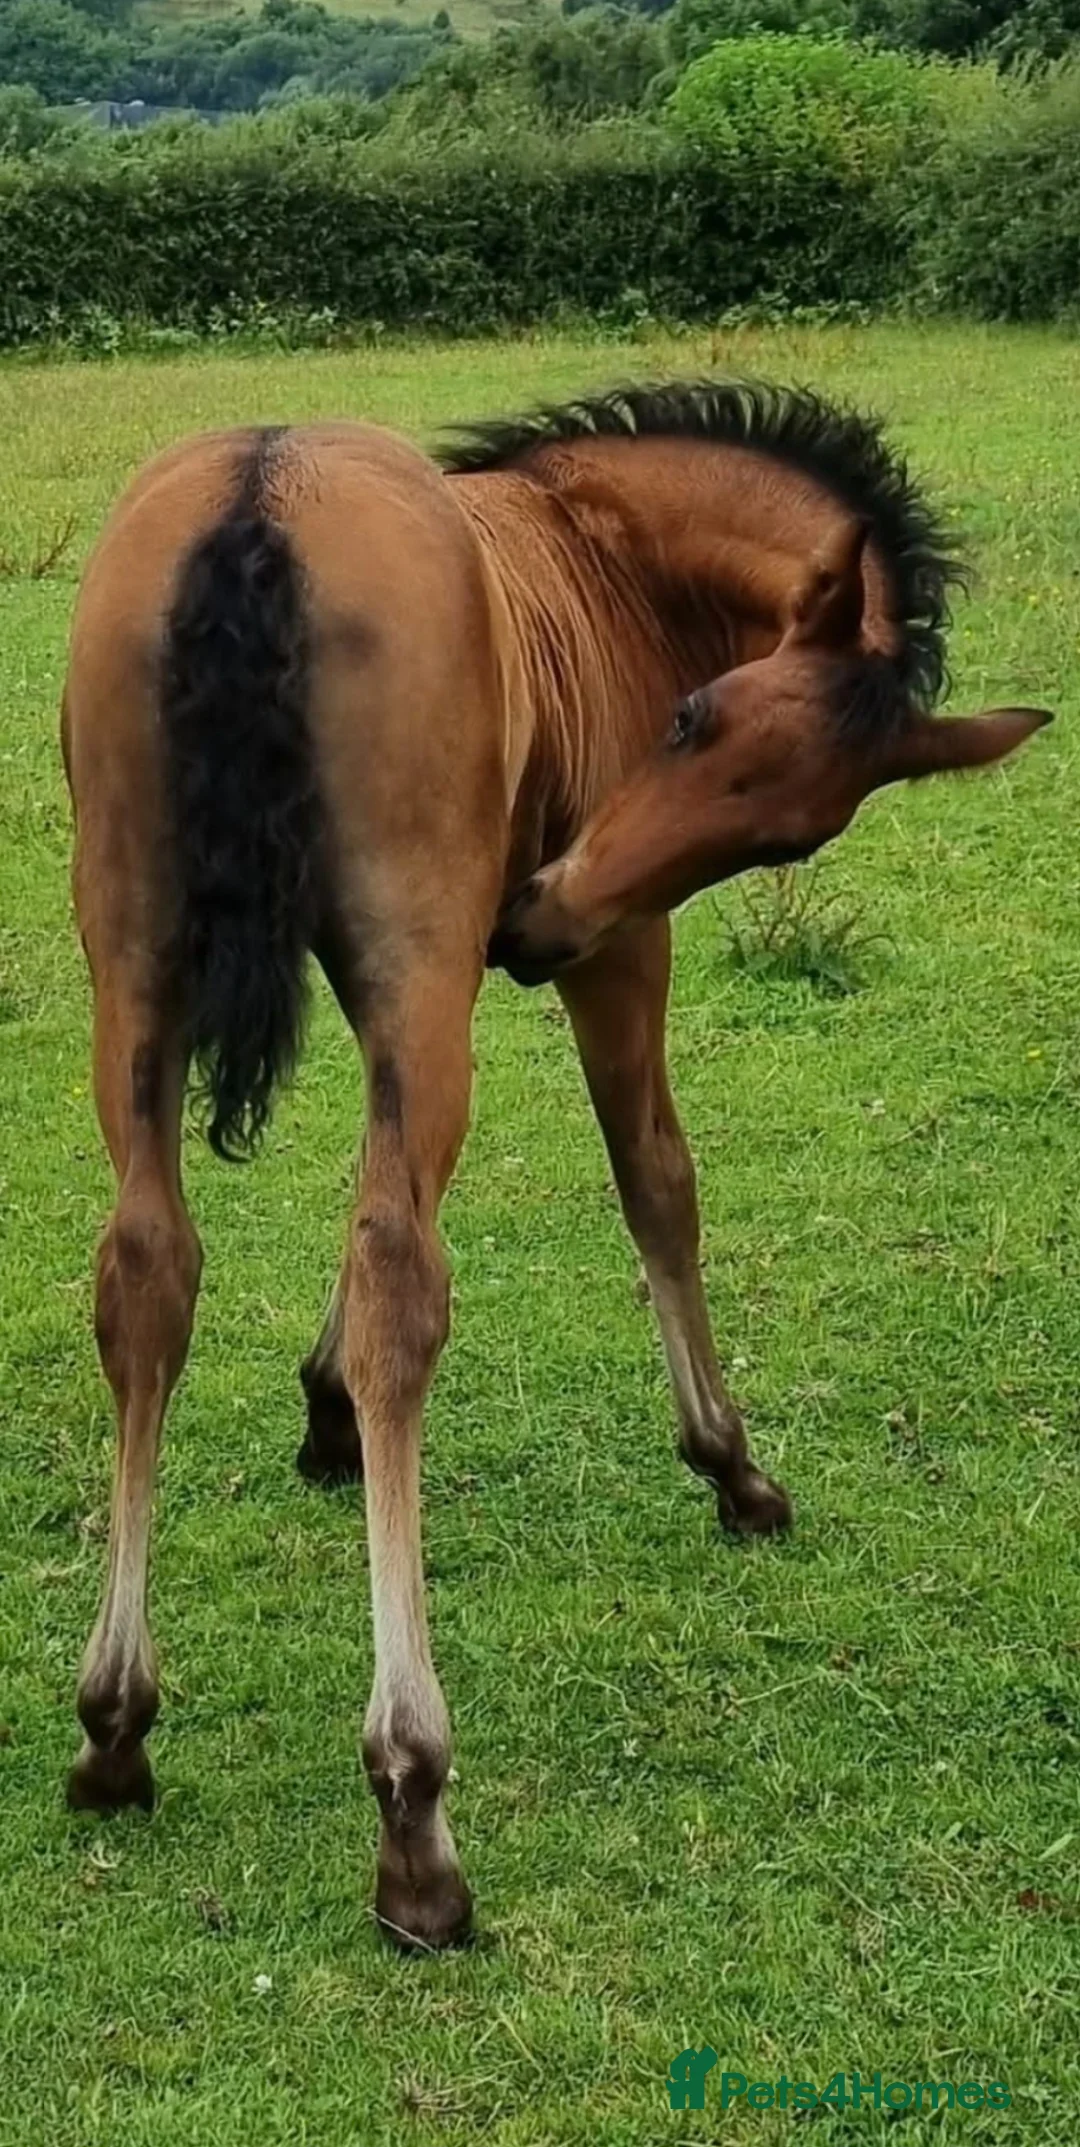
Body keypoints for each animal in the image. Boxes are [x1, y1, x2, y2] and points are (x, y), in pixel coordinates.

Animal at [60, 379, 1050, 1951]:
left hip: (140, 968)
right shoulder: (610, 949)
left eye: (789, 832)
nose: (539, 920)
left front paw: (322, 1410)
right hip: (416, 957)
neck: (605, 549)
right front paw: (733, 1464)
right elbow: (658, 1180)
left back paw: (113, 1724)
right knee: (405, 1286)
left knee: (151, 1273)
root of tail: (258, 497)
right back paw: (413, 1802)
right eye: (690, 715)